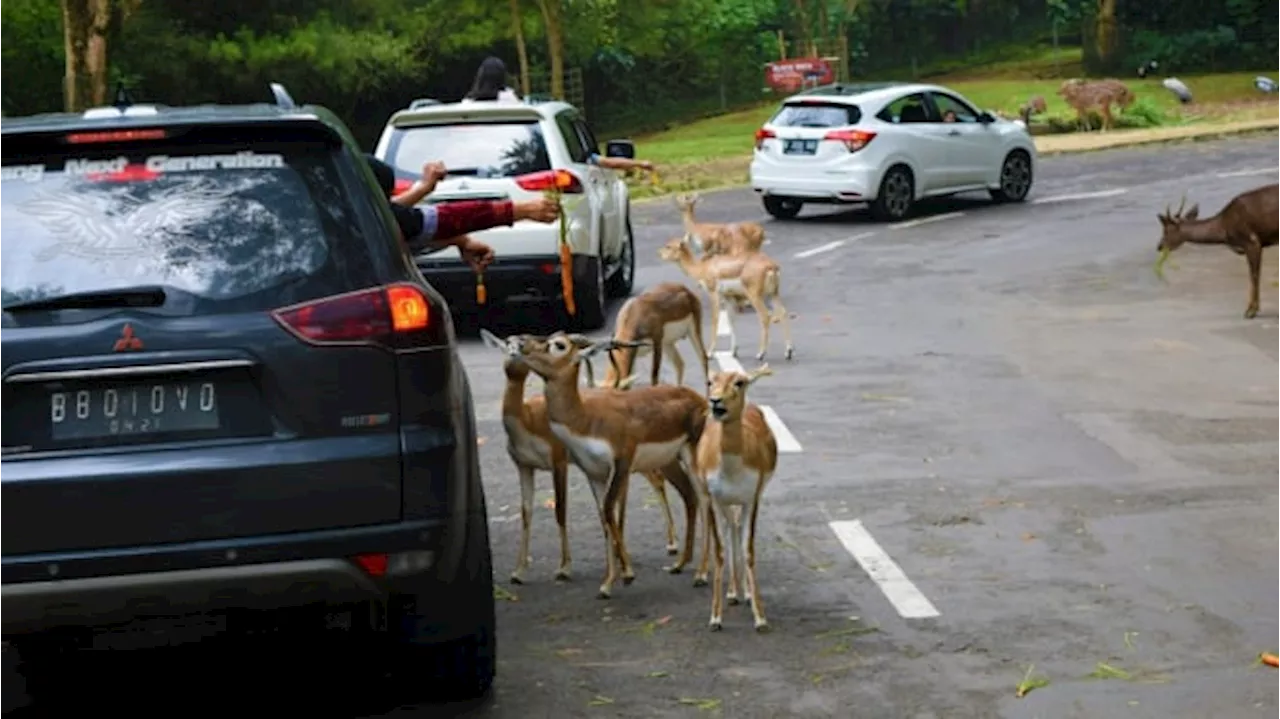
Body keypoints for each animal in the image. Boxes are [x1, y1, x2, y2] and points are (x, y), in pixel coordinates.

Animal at [481, 330, 701, 583]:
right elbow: (526, 513)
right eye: (506, 343)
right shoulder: (524, 466)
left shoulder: (560, 463)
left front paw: (565, 568)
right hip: (657, 461)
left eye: (558, 345)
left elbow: (561, 510)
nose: (518, 350)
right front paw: (518, 572)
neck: (526, 419)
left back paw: (673, 547)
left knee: (659, 485)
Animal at [660, 234, 788, 360]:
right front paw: (733, 351)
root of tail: (772, 266)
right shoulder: (728, 297)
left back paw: (761, 353)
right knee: (783, 313)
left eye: (668, 246)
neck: (702, 268)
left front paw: (710, 352)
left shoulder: (714, 294)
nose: (659, 253)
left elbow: (715, 320)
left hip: (755, 296)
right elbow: (731, 320)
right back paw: (788, 352)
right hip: (773, 294)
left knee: (765, 316)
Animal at [701, 363, 778, 626]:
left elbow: (749, 549)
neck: (732, 470)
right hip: (724, 503)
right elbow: (719, 551)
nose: (716, 401)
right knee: (730, 527)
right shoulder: (712, 498)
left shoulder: (751, 498)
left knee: (736, 527)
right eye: (710, 381)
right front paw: (715, 617)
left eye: (739, 382)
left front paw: (761, 617)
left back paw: (743, 593)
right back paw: (733, 593)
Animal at [1157, 185, 1280, 317]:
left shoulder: (1252, 241)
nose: (1159, 246)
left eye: (1166, 231)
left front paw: (1251, 311)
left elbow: (1254, 276)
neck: (1223, 228)